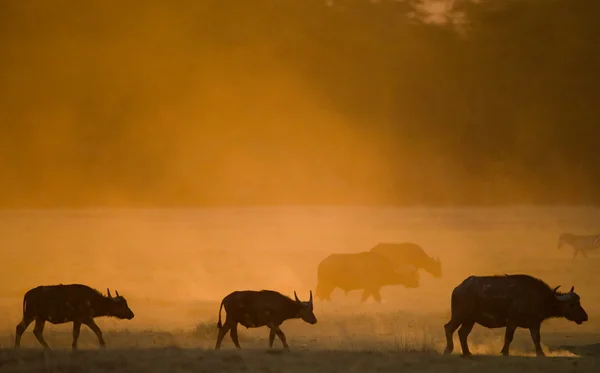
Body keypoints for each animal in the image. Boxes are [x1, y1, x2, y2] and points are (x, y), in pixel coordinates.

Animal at [442, 274, 588, 356]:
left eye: (579, 302)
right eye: (572, 304)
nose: (585, 317)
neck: (540, 297)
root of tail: (458, 288)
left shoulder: (534, 324)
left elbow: (536, 338)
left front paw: (541, 353)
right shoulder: (512, 321)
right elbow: (508, 337)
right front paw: (504, 352)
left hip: (470, 320)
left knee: (462, 333)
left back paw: (467, 352)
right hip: (459, 315)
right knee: (449, 328)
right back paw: (448, 349)